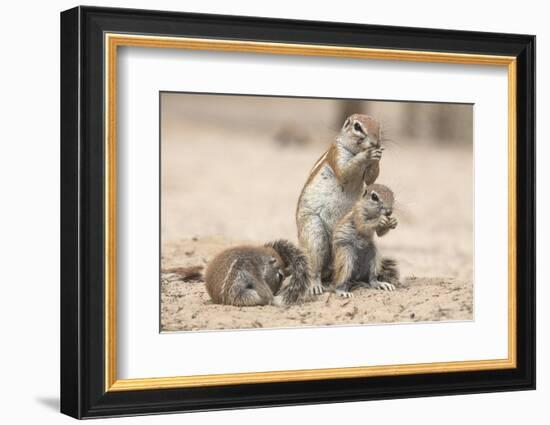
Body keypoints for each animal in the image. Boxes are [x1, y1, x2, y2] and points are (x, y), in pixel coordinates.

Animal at [298, 114, 384, 296]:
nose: (376, 142)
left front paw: (377, 155)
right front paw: (367, 154)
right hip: (314, 232)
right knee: (314, 267)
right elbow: (345, 171)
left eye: (379, 126)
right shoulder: (337, 154)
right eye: (357, 127)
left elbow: (371, 178)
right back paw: (315, 285)